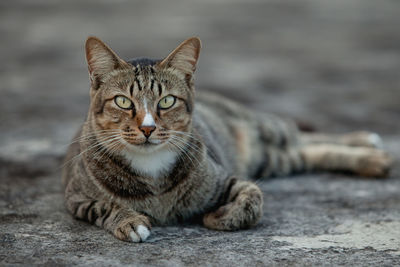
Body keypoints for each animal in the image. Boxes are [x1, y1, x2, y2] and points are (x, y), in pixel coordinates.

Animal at [61, 36, 390, 244]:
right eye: (122, 101)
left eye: (167, 101)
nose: (147, 128)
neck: (150, 166)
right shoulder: (75, 198)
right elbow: (105, 206)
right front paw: (130, 221)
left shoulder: (225, 178)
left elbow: (253, 199)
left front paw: (216, 217)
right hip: (273, 159)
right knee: (307, 151)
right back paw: (371, 158)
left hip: (264, 133)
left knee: (301, 135)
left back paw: (367, 143)